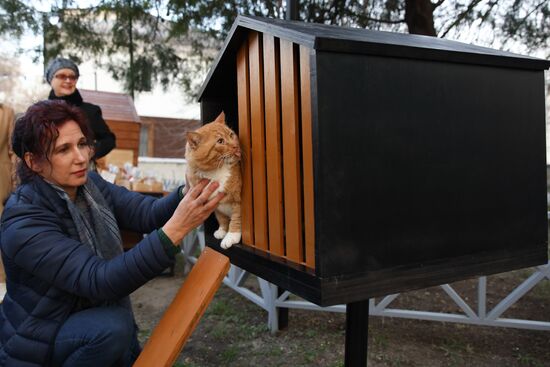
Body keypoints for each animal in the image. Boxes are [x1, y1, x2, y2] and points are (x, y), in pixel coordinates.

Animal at [185, 113, 242, 250]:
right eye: (220, 141)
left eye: (231, 134)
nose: (235, 146)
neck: (215, 171)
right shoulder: (216, 206)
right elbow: (222, 219)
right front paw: (222, 231)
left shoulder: (239, 200)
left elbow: (236, 218)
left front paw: (231, 236)